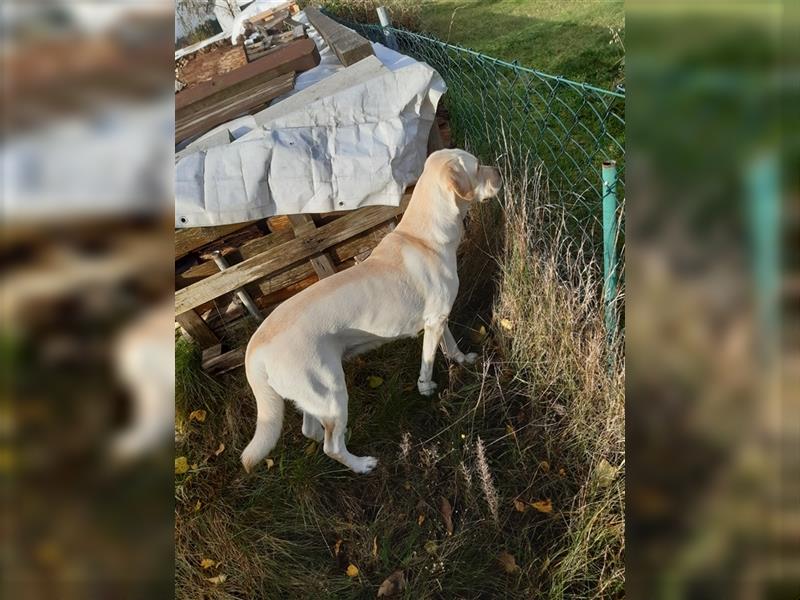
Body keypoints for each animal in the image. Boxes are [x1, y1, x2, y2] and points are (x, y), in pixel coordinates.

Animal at [241, 149, 500, 474]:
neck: (425, 235)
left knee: (311, 429)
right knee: (331, 446)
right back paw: (361, 464)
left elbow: (450, 345)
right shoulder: (434, 322)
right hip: (333, 392)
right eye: (477, 167)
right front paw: (426, 387)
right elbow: (428, 362)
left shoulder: (439, 318)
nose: (499, 172)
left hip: (315, 396)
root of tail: (254, 349)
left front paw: (463, 360)